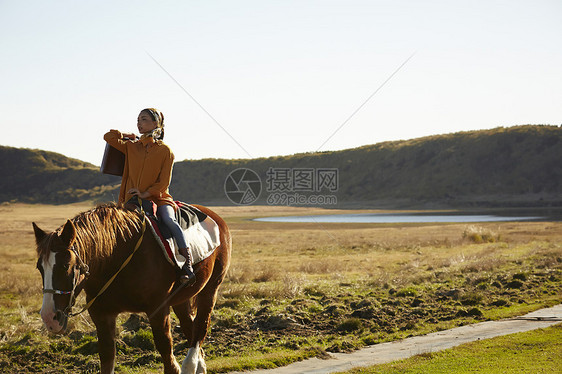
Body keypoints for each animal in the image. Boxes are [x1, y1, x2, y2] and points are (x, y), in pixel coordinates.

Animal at [32, 203, 231, 372]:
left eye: (66, 266)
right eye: (39, 267)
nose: (49, 317)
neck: (115, 259)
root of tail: (215, 217)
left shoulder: (158, 310)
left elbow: (166, 351)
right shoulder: (102, 316)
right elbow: (107, 357)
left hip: (210, 290)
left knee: (201, 326)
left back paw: (189, 365)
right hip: (180, 299)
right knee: (190, 326)